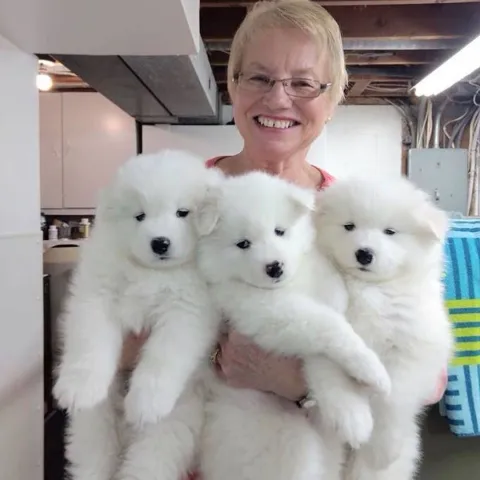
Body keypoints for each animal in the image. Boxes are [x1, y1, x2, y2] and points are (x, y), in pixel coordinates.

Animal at [53, 149, 221, 480]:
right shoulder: (96, 295)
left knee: (148, 461)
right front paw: (77, 387)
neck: (153, 273)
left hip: (170, 427)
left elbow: (164, 355)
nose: (160, 243)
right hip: (95, 425)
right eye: (139, 216)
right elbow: (90, 342)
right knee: (93, 456)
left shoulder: (188, 312)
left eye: (183, 212)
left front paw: (146, 402)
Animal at [194, 171, 392, 480]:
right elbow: (330, 330)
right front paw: (368, 374)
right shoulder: (265, 313)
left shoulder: (330, 296)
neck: (293, 283)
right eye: (243, 244)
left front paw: (352, 405)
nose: (275, 267)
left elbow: (324, 352)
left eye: (280, 231)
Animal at [314, 175, 454, 480]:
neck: (369, 288)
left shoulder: (411, 348)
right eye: (349, 226)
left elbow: (392, 399)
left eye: (390, 232)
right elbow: (332, 368)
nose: (364, 254)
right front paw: (350, 417)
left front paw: (381, 448)